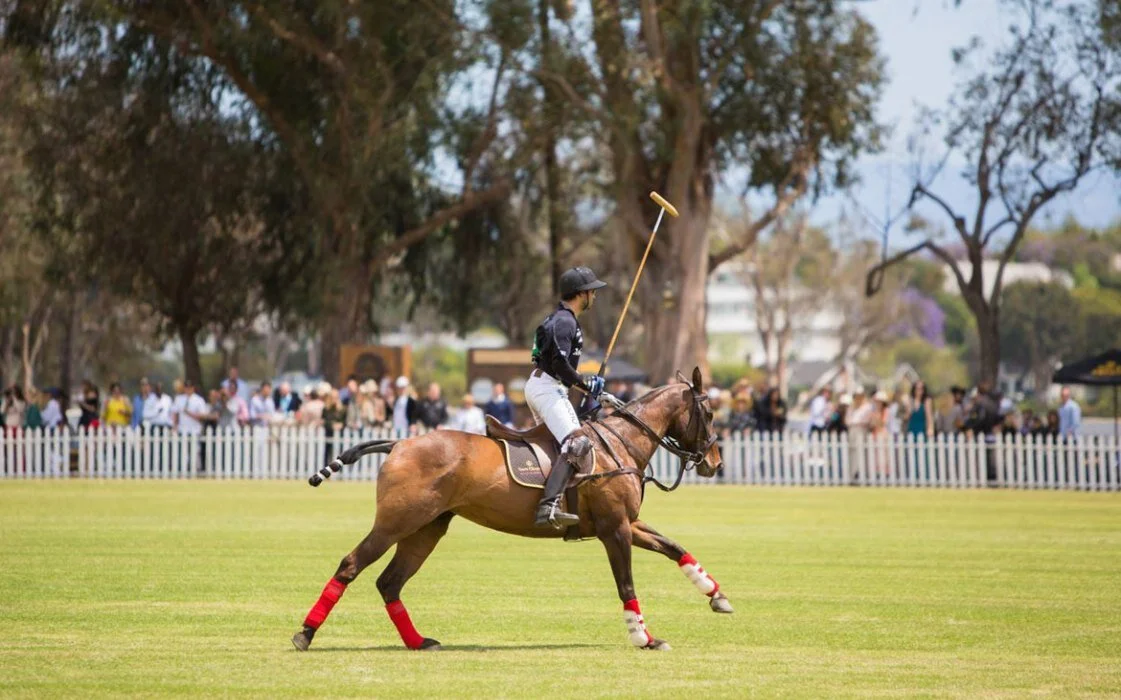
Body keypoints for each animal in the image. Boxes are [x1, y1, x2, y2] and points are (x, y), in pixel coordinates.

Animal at [291, 367, 731, 651]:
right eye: (709, 413)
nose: (714, 463)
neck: (619, 443)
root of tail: (398, 443)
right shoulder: (615, 529)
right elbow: (627, 584)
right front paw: (645, 637)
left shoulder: (626, 523)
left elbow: (674, 546)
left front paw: (717, 596)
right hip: (395, 522)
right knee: (351, 565)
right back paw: (305, 635)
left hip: (427, 528)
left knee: (389, 582)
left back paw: (418, 642)